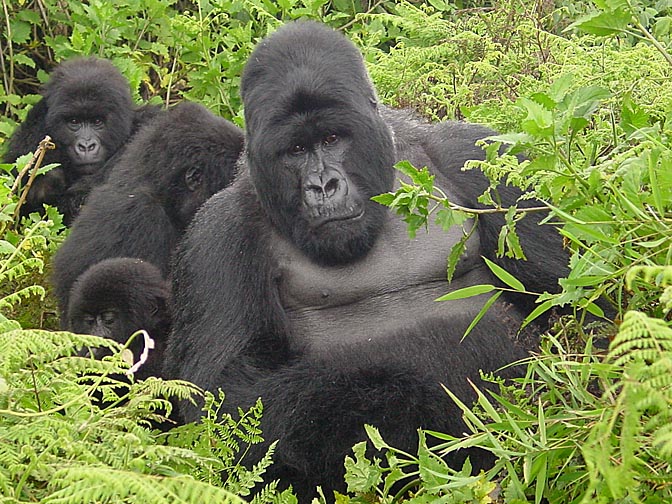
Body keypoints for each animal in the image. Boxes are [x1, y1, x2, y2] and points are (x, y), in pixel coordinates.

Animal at [161, 21, 568, 498]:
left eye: (332, 139)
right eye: (295, 151)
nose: (323, 186)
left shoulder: (473, 155)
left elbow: (572, 291)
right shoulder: (215, 240)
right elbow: (227, 407)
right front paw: (413, 379)